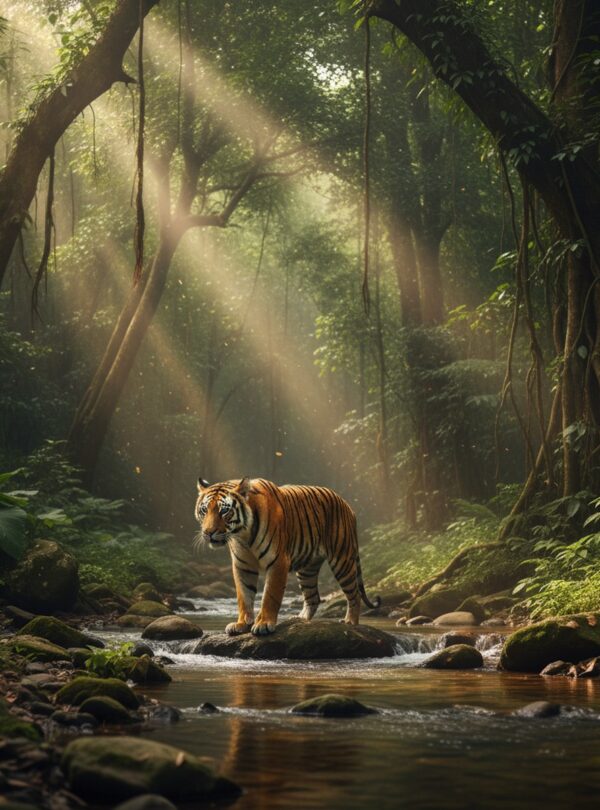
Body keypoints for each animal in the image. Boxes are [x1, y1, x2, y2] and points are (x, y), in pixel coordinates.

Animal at [194, 476, 380, 636]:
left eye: (224, 511)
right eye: (204, 510)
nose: (208, 532)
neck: (243, 535)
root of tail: (347, 505)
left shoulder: (278, 562)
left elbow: (270, 595)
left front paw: (263, 624)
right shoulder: (242, 565)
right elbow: (243, 596)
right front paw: (241, 624)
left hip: (342, 559)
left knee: (354, 594)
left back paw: (350, 622)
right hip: (307, 569)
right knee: (313, 597)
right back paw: (300, 620)